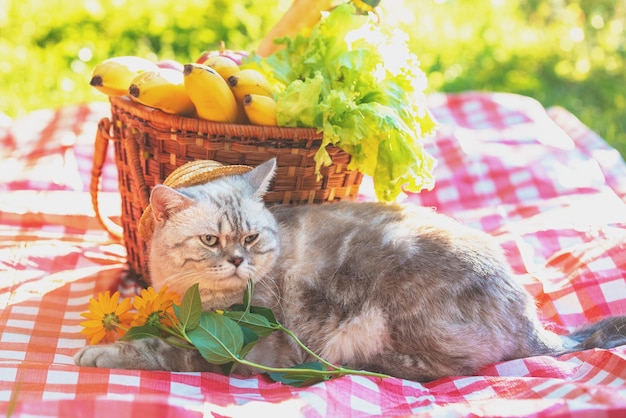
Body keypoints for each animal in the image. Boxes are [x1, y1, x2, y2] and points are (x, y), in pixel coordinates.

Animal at [75, 158, 624, 380]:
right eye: (211, 240)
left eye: (250, 238)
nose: (237, 261)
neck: (188, 298)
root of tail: (532, 320)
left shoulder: (236, 348)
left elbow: (156, 350)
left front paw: (100, 353)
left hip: (389, 316)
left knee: (442, 369)